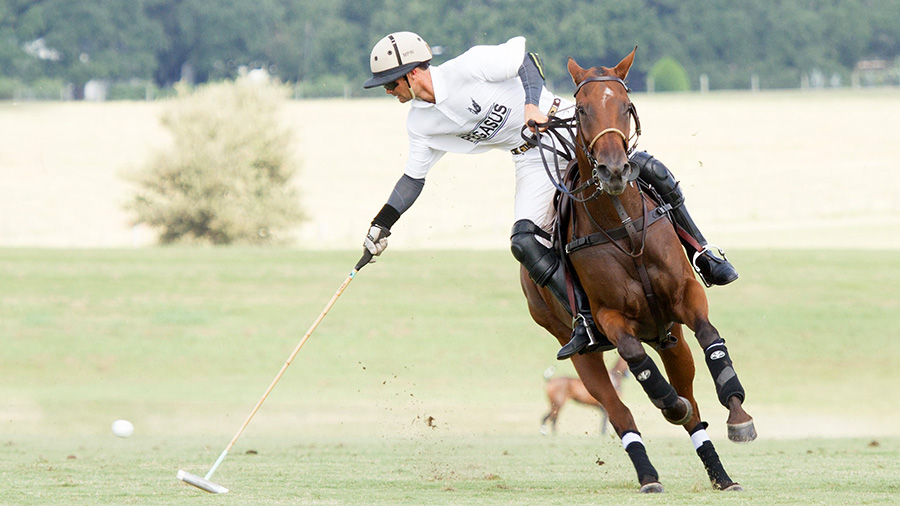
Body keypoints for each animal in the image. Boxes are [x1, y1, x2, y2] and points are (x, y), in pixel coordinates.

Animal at [519, 48, 755, 493]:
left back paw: (721, 474)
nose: (614, 170)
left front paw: (738, 413)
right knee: (621, 412)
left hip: (670, 337)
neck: (624, 226)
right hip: (579, 351)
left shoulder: (685, 296)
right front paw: (668, 403)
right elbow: (635, 360)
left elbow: (711, 337)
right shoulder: (609, 317)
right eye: (582, 109)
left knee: (694, 408)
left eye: (626, 106)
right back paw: (649, 473)